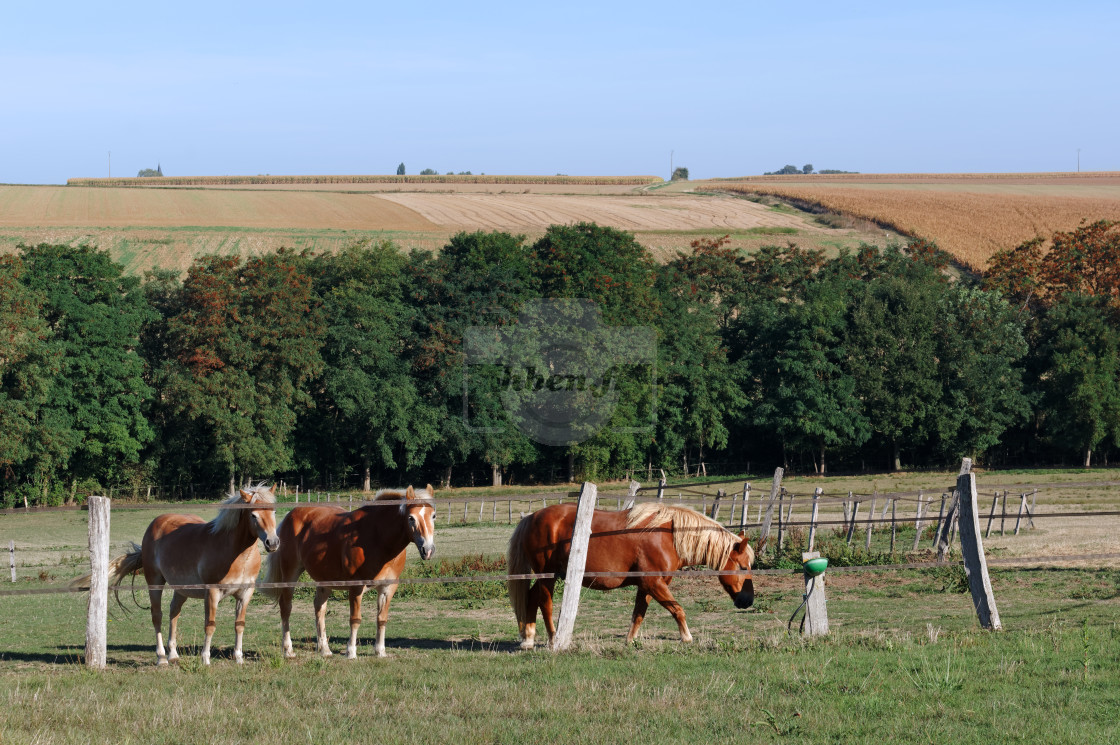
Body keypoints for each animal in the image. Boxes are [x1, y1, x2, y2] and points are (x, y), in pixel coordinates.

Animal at [263, 486, 436, 658]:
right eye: (411, 518)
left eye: (433, 515)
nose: (428, 550)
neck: (378, 538)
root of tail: (290, 515)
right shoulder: (356, 587)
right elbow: (355, 619)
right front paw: (351, 652)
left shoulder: (388, 588)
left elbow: (382, 619)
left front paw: (380, 651)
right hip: (290, 574)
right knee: (286, 608)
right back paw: (288, 650)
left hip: (324, 580)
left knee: (319, 608)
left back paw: (325, 649)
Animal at [510, 499, 757, 649]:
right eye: (743, 567)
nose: (748, 601)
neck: (668, 536)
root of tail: (532, 517)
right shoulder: (654, 583)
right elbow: (678, 609)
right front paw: (686, 637)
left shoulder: (648, 585)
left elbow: (638, 614)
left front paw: (630, 641)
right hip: (548, 576)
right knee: (546, 604)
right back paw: (554, 639)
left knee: (531, 598)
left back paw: (528, 639)